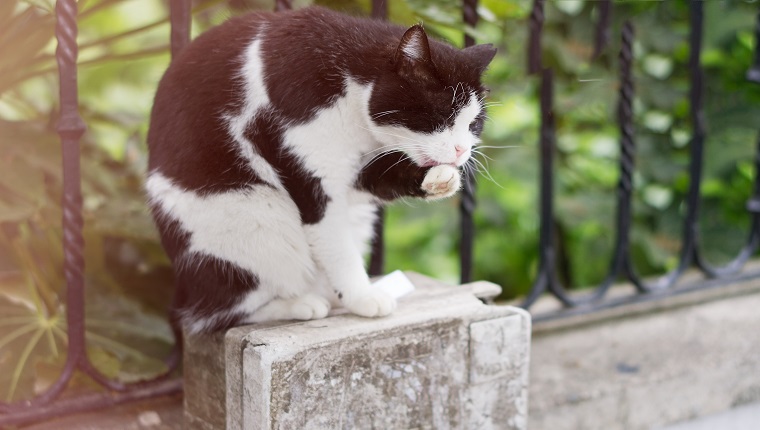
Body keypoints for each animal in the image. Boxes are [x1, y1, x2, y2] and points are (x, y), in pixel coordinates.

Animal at [145, 5, 496, 332]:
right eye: (441, 116)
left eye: (474, 124)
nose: (462, 150)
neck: (350, 80)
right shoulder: (305, 162)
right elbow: (335, 242)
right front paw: (361, 296)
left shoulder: (356, 169)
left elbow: (376, 181)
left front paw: (440, 179)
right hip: (254, 216)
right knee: (209, 315)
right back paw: (300, 304)